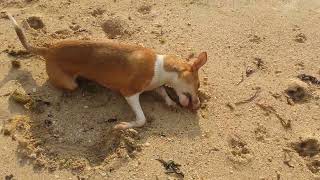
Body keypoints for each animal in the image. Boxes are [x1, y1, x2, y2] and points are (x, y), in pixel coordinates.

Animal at [8, 13, 208, 129]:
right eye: (198, 84)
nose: (198, 105)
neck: (159, 66)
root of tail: (48, 50)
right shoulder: (129, 93)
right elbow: (142, 118)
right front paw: (125, 125)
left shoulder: (154, 85)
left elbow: (162, 91)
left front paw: (170, 102)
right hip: (69, 83)